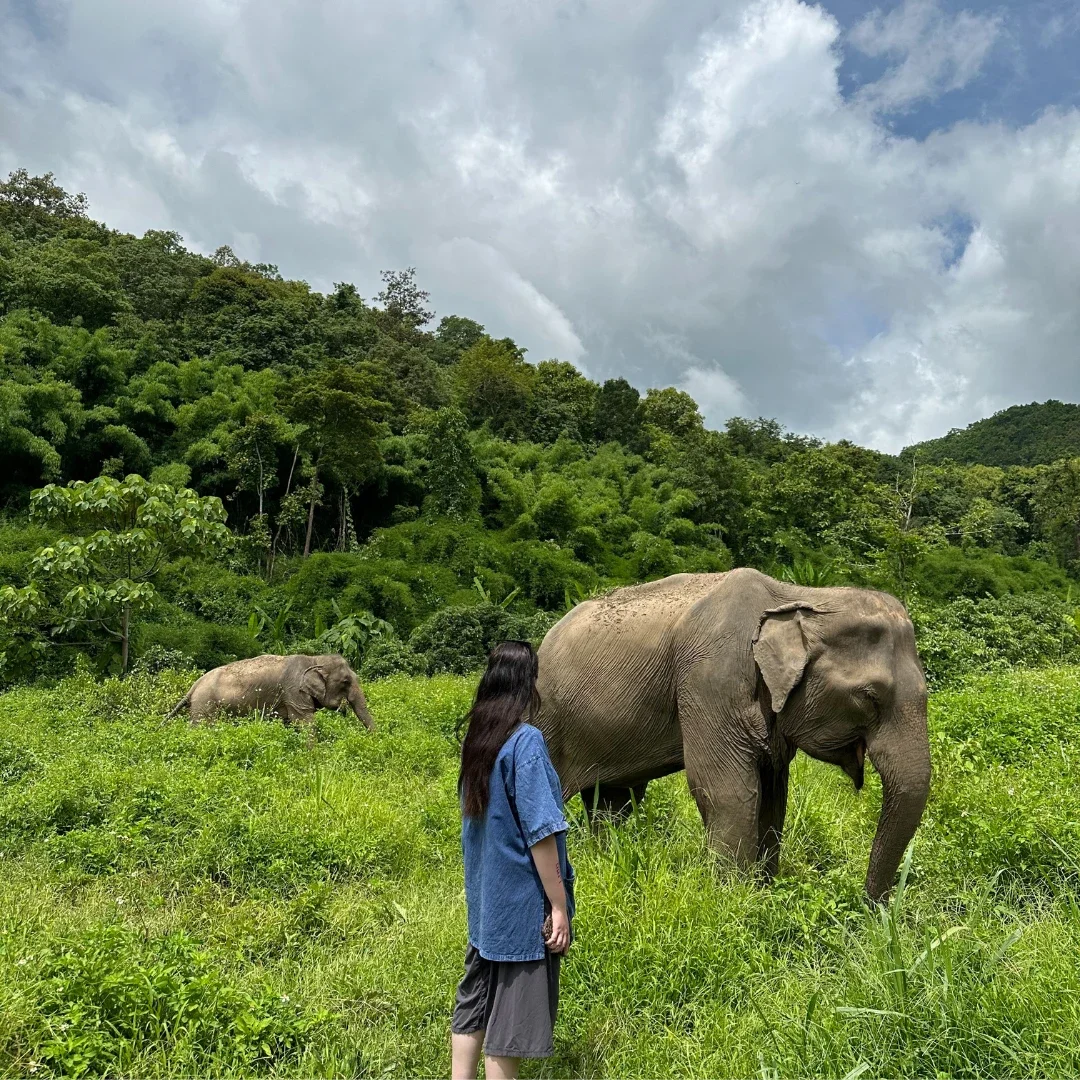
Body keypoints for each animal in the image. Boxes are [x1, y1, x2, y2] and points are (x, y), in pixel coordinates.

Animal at [166, 653, 374, 739]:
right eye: (345, 681)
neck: (315, 658)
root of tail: (194, 686)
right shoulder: (294, 692)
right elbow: (304, 723)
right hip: (205, 705)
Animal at [535, 568, 930, 902]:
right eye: (870, 697)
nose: (873, 908)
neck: (800, 595)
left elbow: (772, 794)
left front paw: (763, 893)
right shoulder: (708, 679)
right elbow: (727, 790)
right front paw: (733, 902)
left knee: (614, 803)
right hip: (547, 719)